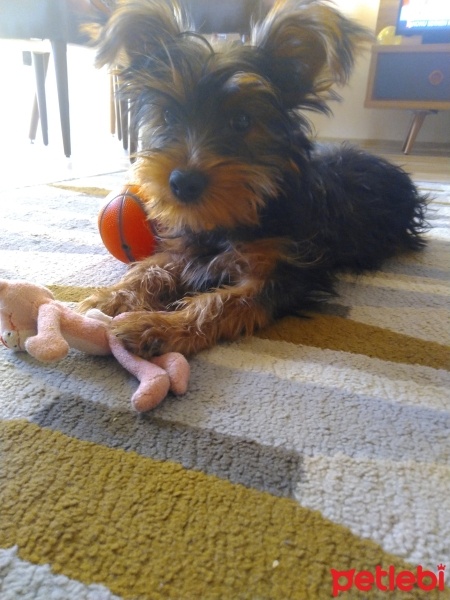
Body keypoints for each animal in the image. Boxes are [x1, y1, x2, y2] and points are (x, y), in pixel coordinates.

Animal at [80, 0, 426, 356]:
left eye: (242, 121)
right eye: (168, 116)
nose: (183, 183)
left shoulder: (284, 270)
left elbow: (220, 303)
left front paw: (156, 327)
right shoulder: (187, 246)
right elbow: (151, 268)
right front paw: (110, 299)